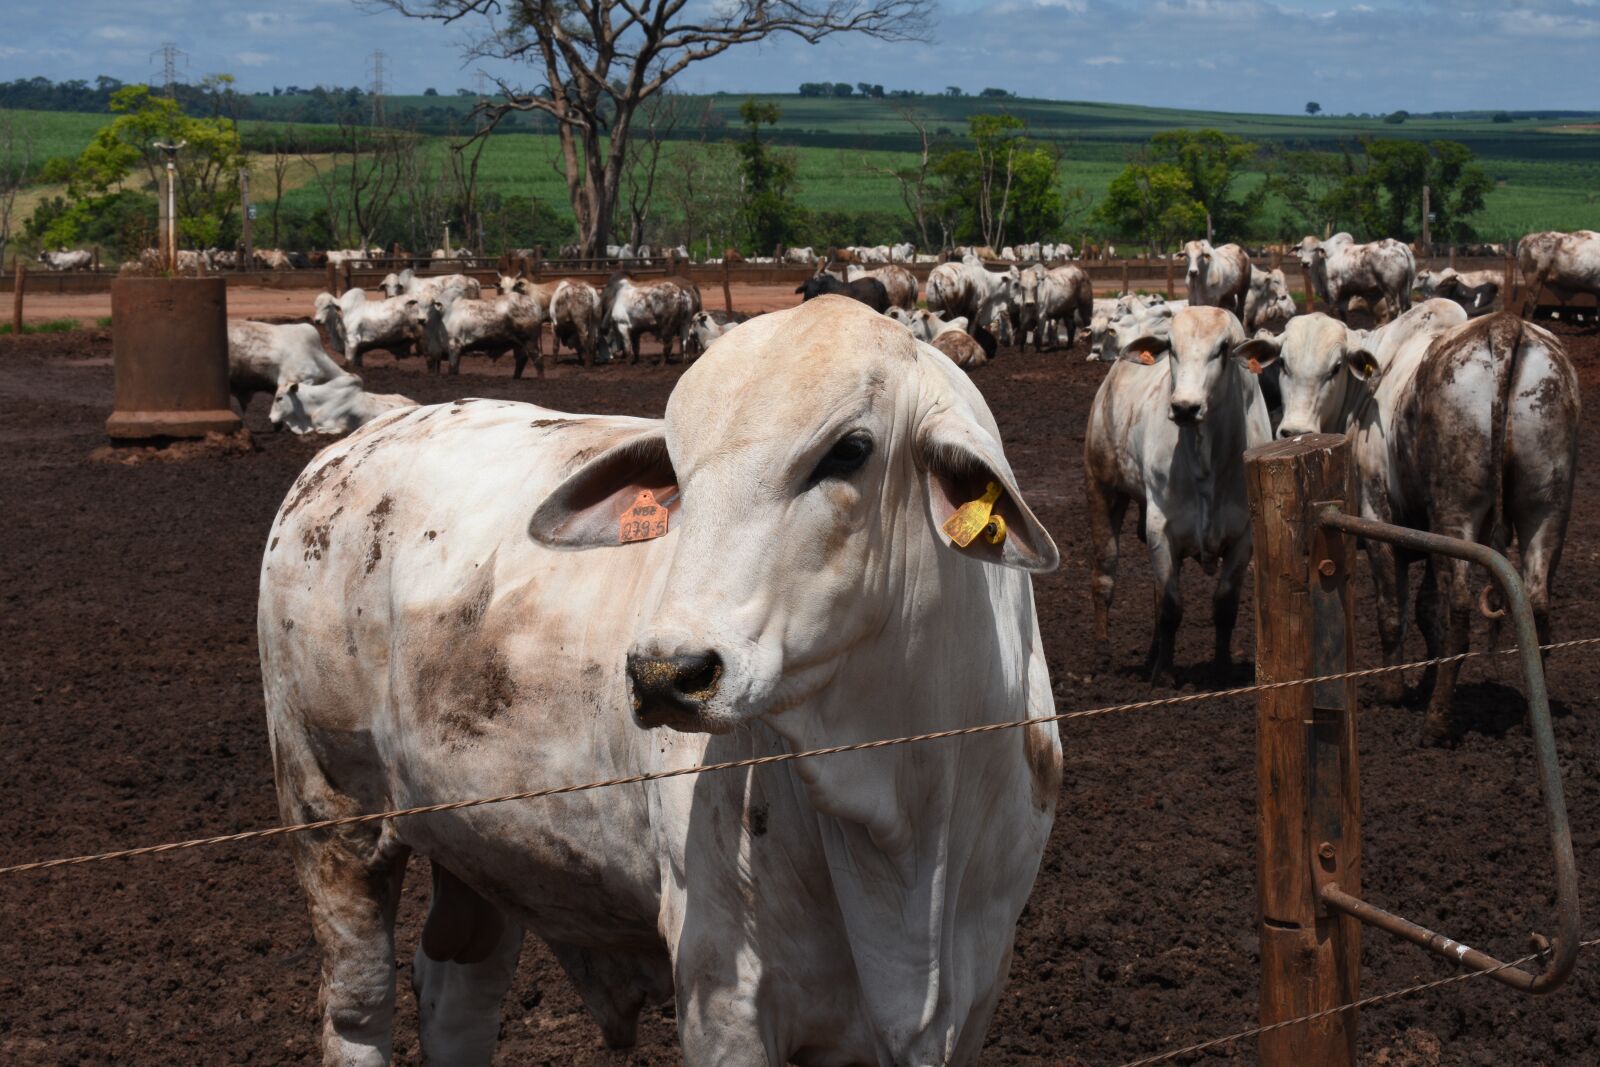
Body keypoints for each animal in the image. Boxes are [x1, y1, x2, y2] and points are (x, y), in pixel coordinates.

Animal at [1084, 306, 1271, 683]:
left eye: (1223, 348)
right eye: (1171, 346)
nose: (1185, 407)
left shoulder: (1244, 536)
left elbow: (1224, 605)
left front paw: (1221, 669)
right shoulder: (1161, 527)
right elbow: (1172, 605)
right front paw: (1165, 674)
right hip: (1102, 487)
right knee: (1105, 573)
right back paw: (1103, 653)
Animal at [1238, 303, 1579, 744]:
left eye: (1335, 368)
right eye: (1283, 362)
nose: (1294, 431)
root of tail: (1505, 329)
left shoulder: (1377, 514)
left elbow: (1392, 611)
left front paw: (1393, 690)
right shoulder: (1432, 537)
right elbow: (1426, 611)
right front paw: (1423, 680)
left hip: (1457, 509)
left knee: (1459, 609)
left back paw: (1437, 722)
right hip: (1546, 507)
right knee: (1536, 604)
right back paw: (1524, 718)